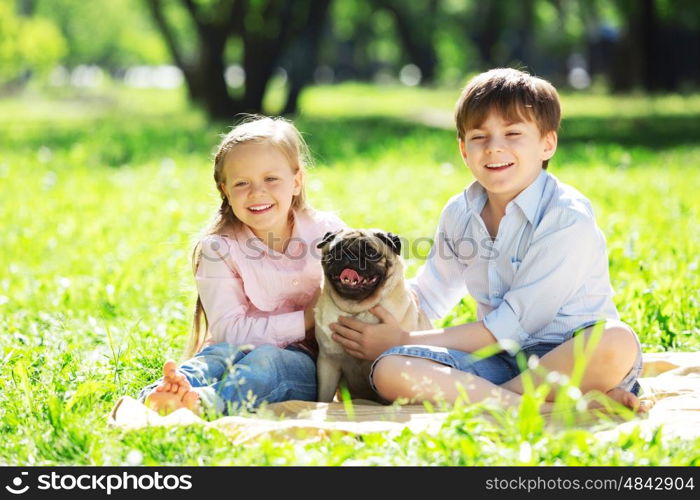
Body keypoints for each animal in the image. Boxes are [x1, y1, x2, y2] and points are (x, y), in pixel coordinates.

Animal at [316, 229, 432, 402]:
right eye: (336, 250)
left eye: (370, 252)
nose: (350, 255)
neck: (357, 309)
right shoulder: (328, 362)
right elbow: (323, 397)